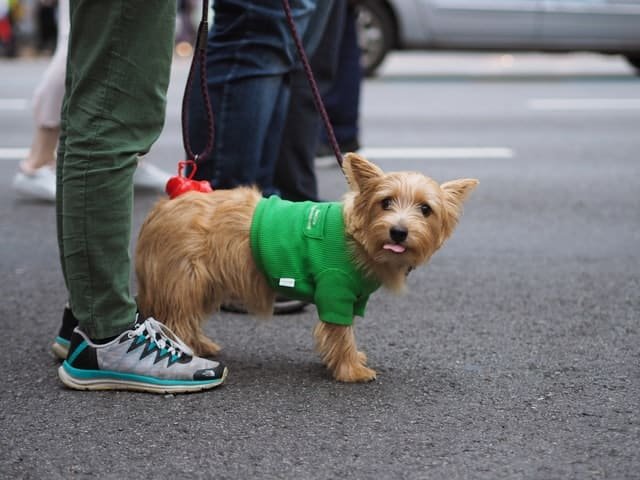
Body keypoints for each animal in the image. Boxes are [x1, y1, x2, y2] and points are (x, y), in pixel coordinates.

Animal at [135, 154, 476, 382]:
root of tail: (164, 206)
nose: (398, 232)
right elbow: (341, 334)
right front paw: (351, 369)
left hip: (205, 284)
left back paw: (200, 344)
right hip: (185, 280)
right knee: (177, 319)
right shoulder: (335, 291)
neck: (358, 238)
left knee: (186, 318)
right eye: (386, 202)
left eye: (425, 209)